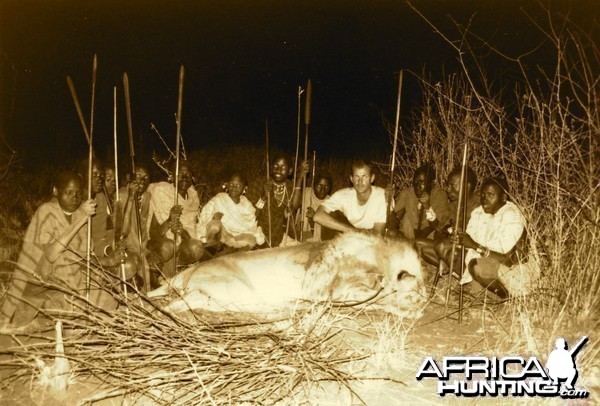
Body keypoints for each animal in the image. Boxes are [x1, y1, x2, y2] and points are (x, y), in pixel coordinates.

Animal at [148, 232, 424, 318]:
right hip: (235, 290)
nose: (422, 305)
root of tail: (186, 275)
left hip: (210, 294)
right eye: (415, 292)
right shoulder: (320, 288)